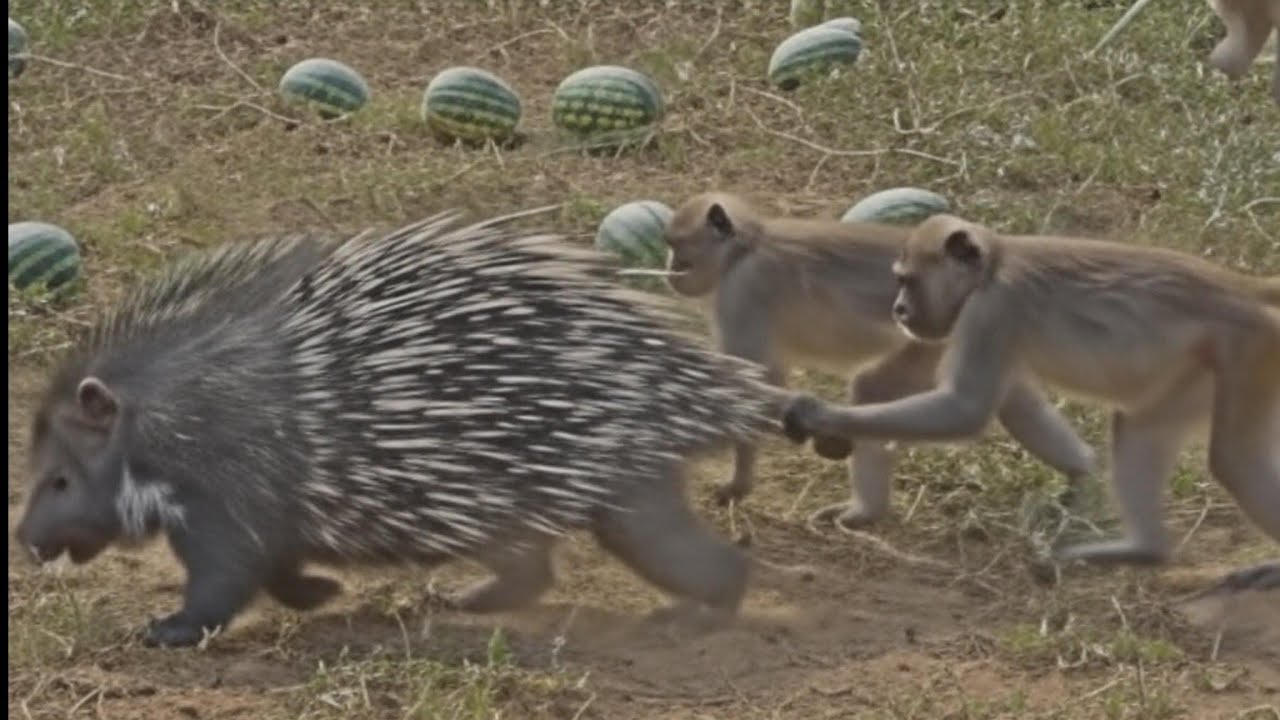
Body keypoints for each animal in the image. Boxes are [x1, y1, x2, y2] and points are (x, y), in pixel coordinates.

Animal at [660, 192, 1099, 529]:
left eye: (677, 249)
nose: (669, 271)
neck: (748, 247)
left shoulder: (744, 288)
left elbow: (757, 380)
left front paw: (739, 483)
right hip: (989, 335)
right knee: (1013, 403)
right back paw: (1083, 474)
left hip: (935, 342)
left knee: (875, 387)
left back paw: (865, 508)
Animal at [780, 213, 1280, 571]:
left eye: (908, 281)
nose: (898, 310)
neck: (996, 263)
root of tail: (1242, 290)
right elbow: (1014, 401)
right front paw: (1082, 474)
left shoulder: (993, 309)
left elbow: (965, 409)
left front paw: (821, 416)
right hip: (1203, 367)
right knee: (1139, 428)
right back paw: (1144, 550)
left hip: (1251, 348)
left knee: (1233, 460)